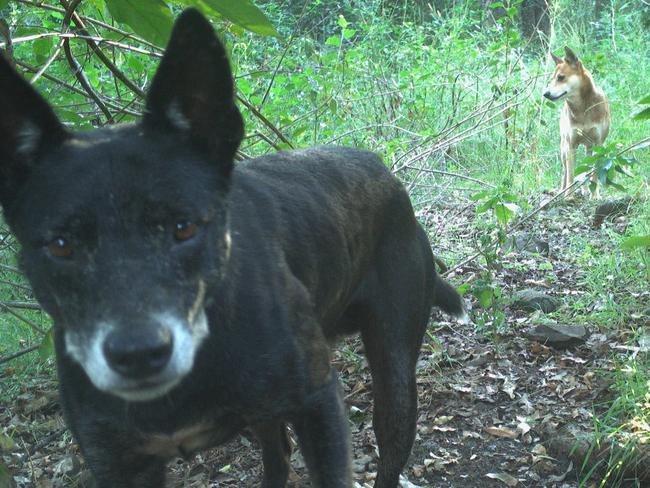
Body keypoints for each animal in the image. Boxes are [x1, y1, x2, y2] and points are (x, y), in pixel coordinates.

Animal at [0, 8, 460, 488]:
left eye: (184, 227)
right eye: (61, 246)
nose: (138, 354)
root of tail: (386, 173)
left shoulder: (319, 405)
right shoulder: (118, 461)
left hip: (393, 374)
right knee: (278, 454)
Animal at [540, 47, 608, 196]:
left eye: (561, 77)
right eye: (552, 79)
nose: (545, 94)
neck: (583, 109)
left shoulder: (598, 143)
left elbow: (594, 173)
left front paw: (595, 195)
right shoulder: (571, 145)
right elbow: (570, 174)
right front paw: (568, 196)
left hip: (589, 147)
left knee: (587, 168)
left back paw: (586, 190)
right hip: (563, 149)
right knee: (565, 172)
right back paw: (562, 190)